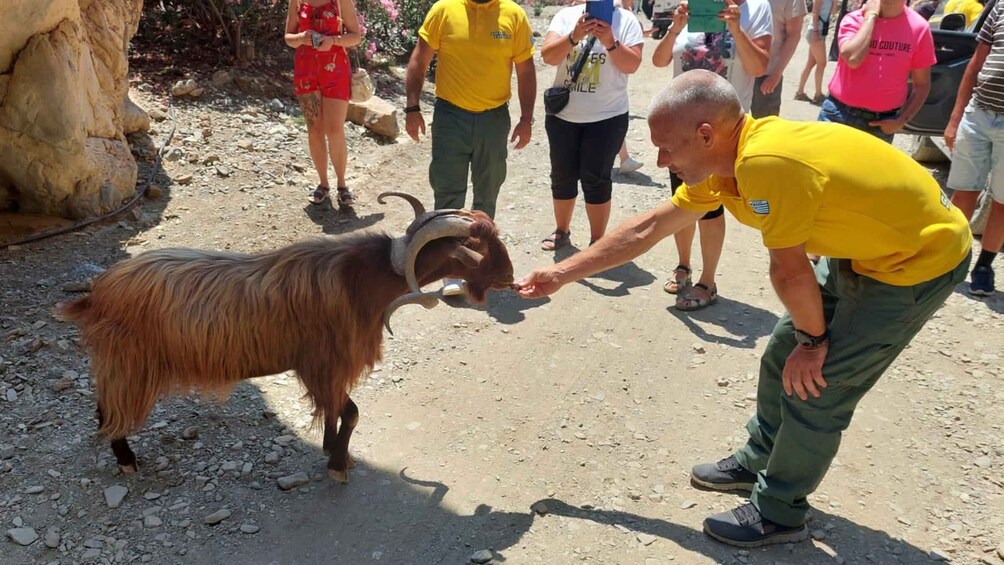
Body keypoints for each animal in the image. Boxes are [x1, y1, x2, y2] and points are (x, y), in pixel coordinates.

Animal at [58, 194, 514, 481]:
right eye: (475, 245)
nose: (510, 278)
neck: (363, 279)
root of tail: (98, 293)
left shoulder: (327, 370)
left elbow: (336, 411)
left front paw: (331, 448)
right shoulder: (324, 364)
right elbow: (351, 413)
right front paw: (337, 465)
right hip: (129, 362)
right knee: (108, 411)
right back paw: (127, 461)